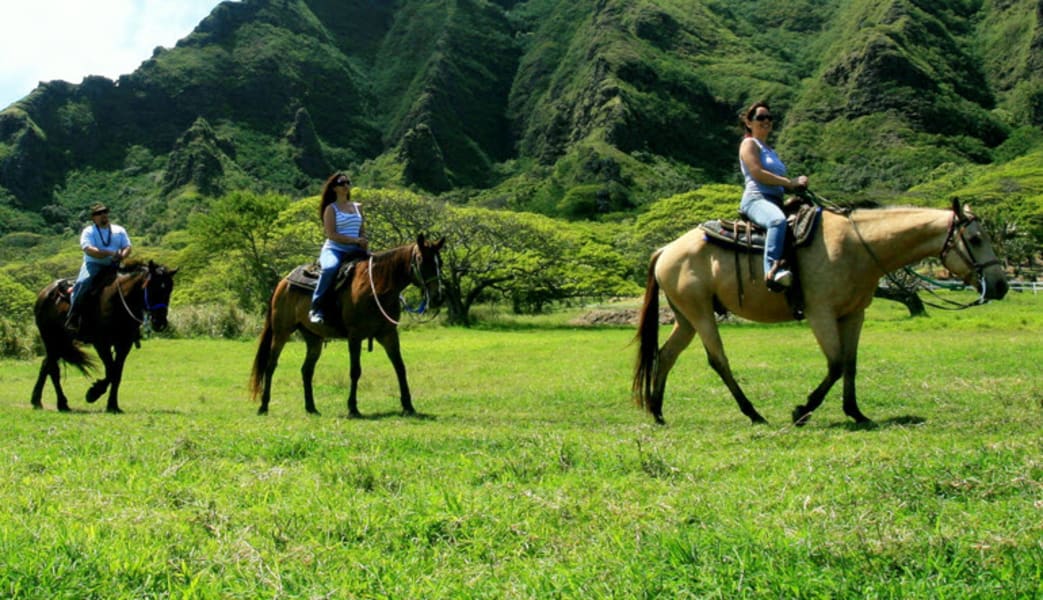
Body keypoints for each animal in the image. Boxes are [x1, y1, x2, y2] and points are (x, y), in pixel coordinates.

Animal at [31, 260, 179, 415]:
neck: (118, 300)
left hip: (61, 342)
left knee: (46, 365)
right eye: (151, 287)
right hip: (51, 339)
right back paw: (61, 403)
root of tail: (44, 293)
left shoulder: (124, 345)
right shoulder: (101, 343)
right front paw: (93, 393)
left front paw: (113, 405)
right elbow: (111, 371)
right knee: (53, 369)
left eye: (169, 289)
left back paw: (38, 401)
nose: (159, 322)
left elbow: (116, 374)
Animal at [252, 234, 448, 417]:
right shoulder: (355, 336)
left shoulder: (388, 334)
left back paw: (311, 408)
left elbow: (400, 367)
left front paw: (408, 406)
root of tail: (283, 281)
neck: (377, 287)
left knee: (306, 370)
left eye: (440, 262)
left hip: (313, 338)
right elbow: (355, 371)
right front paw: (352, 408)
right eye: (422, 260)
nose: (438, 297)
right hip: (281, 332)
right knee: (271, 365)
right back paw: (263, 406)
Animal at [629, 199, 1005, 425]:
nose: (1000, 285)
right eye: (975, 238)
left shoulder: (854, 315)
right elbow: (835, 364)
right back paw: (753, 414)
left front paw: (856, 412)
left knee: (666, 355)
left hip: (687, 318)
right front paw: (802, 410)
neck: (857, 245)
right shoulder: (820, 313)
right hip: (701, 315)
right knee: (718, 360)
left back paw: (658, 412)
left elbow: (850, 364)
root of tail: (666, 249)